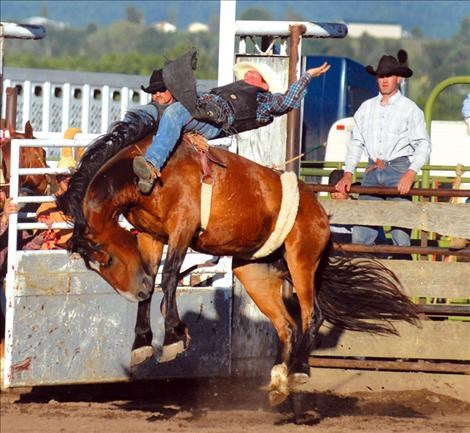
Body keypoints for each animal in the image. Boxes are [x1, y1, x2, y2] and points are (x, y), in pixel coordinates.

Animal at [56, 113, 418, 404]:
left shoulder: (183, 226)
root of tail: (320, 210)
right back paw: (278, 382)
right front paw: (141, 344)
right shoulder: (151, 235)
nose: (135, 291)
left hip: (302, 260)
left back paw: (299, 371)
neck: (148, 169)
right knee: (286, 326)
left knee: (311, 315)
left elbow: (169, 277)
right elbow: (153, 275)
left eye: (106, 258)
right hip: (254, 273)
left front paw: (172, 337)